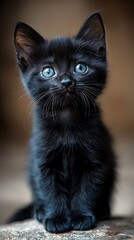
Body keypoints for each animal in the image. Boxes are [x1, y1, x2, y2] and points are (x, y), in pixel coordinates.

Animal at [10, 11, 115, 232]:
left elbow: (87, 188)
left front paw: (81, 216)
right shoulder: (42, 160)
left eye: (80, 68)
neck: (67, 117)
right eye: (48, 71)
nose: (66, 81)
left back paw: (102, 210)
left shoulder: (96, 159)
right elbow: (50, 190)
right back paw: (40, 211)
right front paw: (57, 218)